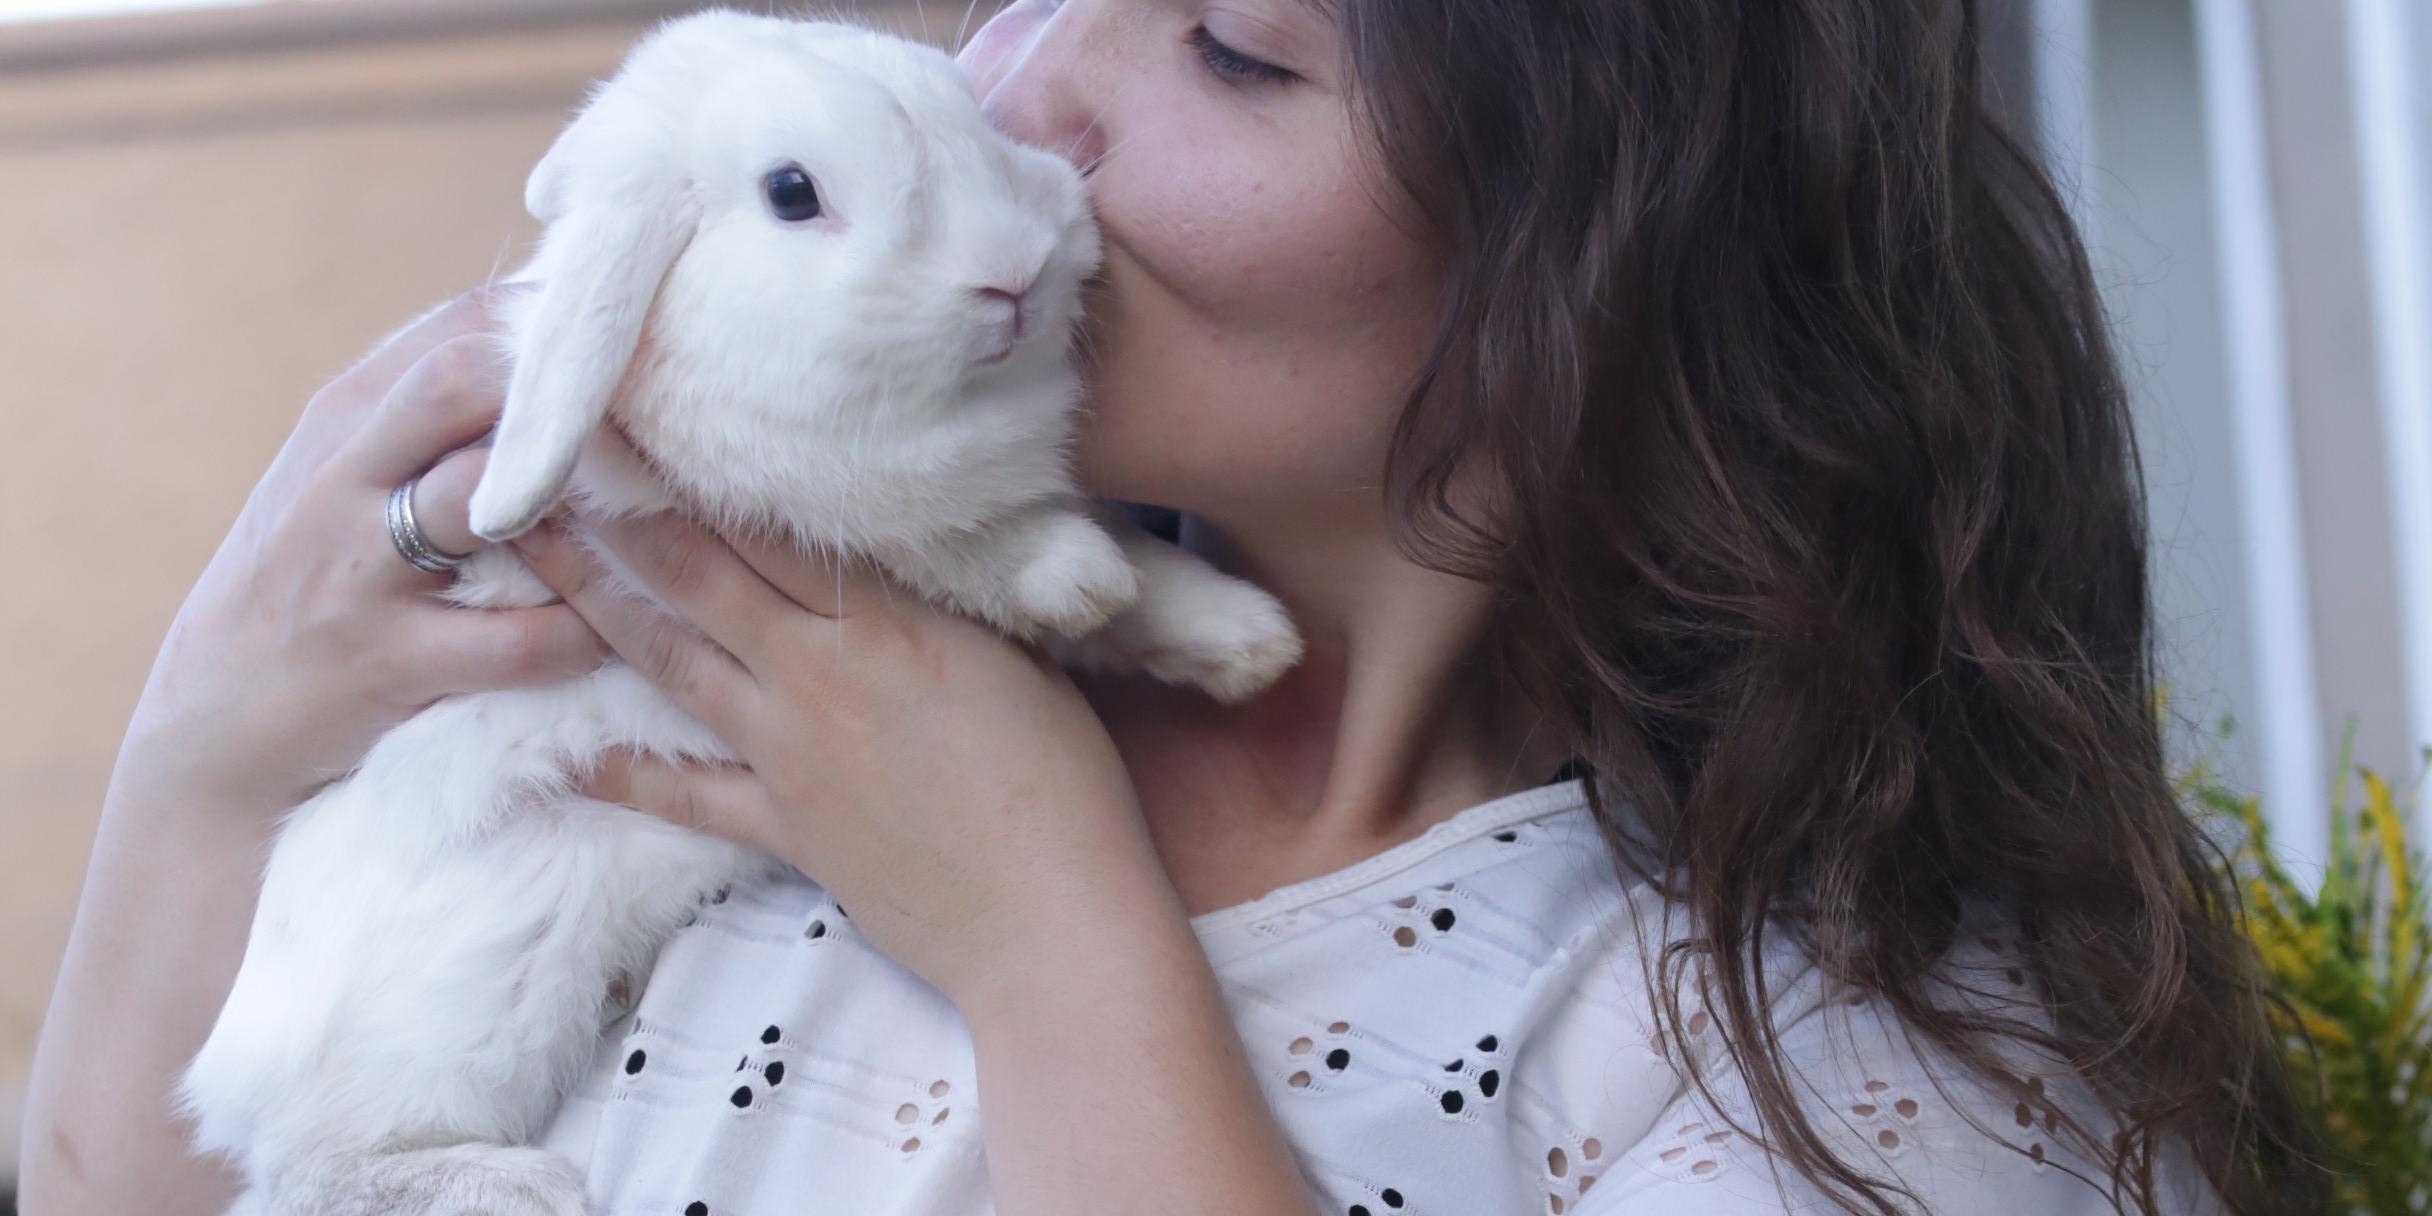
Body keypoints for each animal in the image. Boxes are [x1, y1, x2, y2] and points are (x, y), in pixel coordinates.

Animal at [171, 11, 1303, 1216]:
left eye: (974, 116)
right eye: (791, 192)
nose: (1014, 274)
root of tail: (233, 1086)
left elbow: (1124, 577)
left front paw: (1245, 639)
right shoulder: (777, 509)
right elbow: (954, 550)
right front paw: (1070, 570)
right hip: (468, 998)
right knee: (311, 1170)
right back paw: (518, 1186)